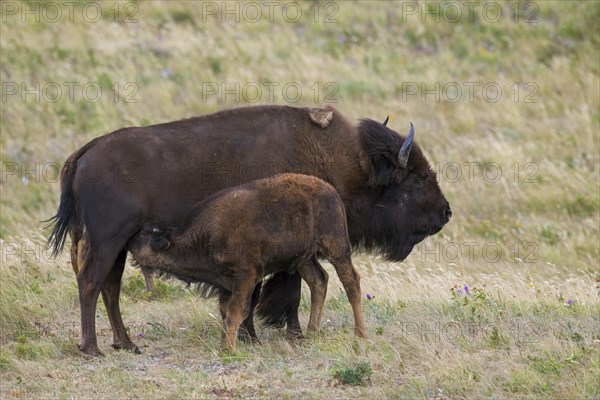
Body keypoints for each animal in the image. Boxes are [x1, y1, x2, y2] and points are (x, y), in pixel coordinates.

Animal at [126, 173, 366, 348]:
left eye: (145, 235)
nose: (129, 240)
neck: (207, 236)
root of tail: (330, 191)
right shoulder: (227, 284)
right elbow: (227, 312)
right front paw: (227, 343)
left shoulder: (246, 276)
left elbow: (236, 312)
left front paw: (228, 349)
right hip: (303, 259)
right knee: (319, 281)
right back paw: (312, 333)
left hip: (337, 248)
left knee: (351, 283)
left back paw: (360, 334)